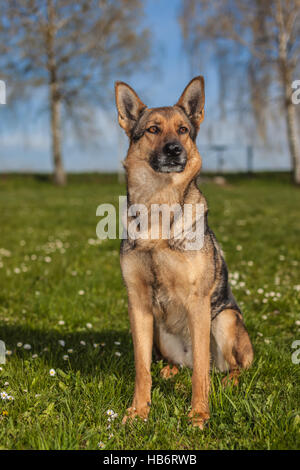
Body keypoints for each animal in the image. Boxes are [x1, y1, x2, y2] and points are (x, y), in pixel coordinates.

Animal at [115, 75, 253, 428]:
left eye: (183, 130)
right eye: (152, 129)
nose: (174, 150)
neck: (158, 206)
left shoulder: (198, 302)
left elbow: (201, 374)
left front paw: (199, 415)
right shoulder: (137, 302)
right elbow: (141, 368)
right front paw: (138, 411)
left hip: (224, 320)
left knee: (226, 368)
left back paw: (227, 381)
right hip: (160, 332)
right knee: (180, 366)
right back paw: (169, 372)